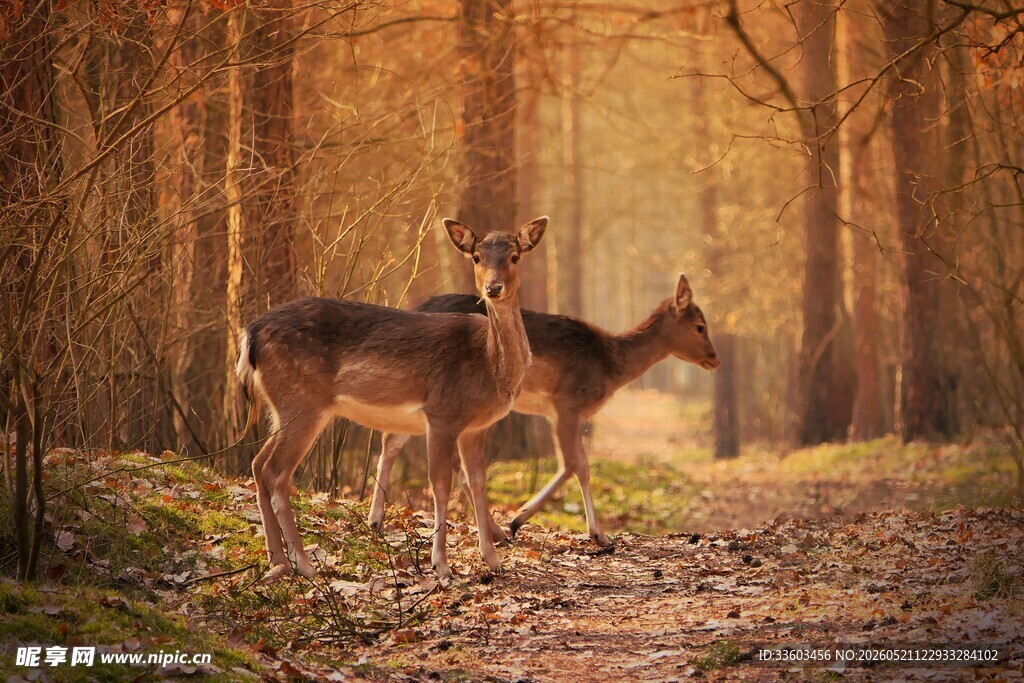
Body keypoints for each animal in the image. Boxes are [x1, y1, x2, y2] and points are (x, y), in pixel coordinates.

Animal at [235, 217, 548, 584]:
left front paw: (493, 561)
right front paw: (441, 565)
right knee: (277, 472)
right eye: (476, 257)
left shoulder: (475, 428)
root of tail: (251, 333)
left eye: (514, 256)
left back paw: (277, 561)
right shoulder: (442, 414)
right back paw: (304, 563)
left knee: (258, 464)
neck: (488, 365)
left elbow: (478, 483)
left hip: (280, 408)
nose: (493, 288)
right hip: (303, 401)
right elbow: (441, 486)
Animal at [368, 274, 719, 547]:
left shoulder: (557, 412)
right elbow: (579, 465)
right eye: (700, 326)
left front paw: (518, 520)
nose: (714, 358)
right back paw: (494, 531)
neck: (609, 365)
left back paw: (376, 521)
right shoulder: (568, 403)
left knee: (393, 441)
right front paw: (599, 536)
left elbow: (570, 464)